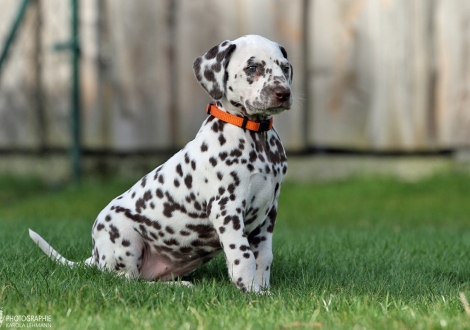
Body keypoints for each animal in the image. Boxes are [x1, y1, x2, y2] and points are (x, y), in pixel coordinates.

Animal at [27, 34, 292, 292]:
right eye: (252, 67)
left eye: (286, 67)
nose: (284, 93)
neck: (256, 138)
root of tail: (95, 256)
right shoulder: (226, 207)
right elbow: (243, 255)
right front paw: (249, 291)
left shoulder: (269, 212)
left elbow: (263, 257)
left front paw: (263, 291)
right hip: (125, 238)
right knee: (128, 282)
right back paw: (178, 288)